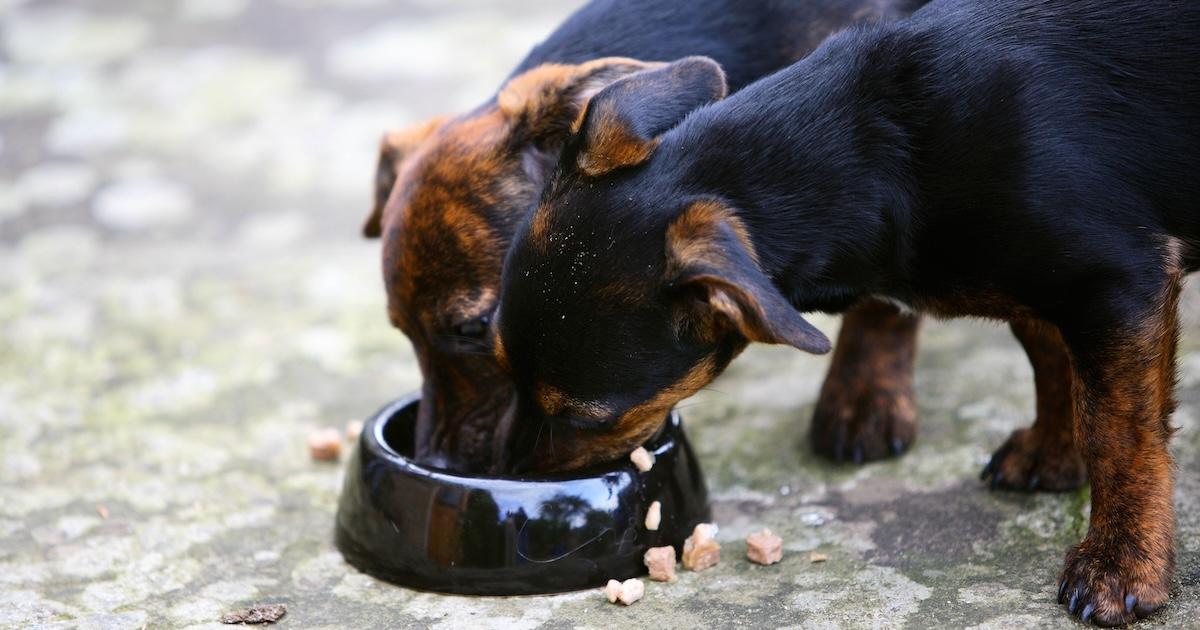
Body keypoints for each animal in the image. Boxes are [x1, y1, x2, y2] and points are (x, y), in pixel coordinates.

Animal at [492, 0, 1195, 619]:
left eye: (584, 416)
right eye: (496, 359)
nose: (510, 473)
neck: (888, 152)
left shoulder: (1118, 280)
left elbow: (1118, 432)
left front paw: (1121, 568)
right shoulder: (1042, 284)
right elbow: (1051, 357)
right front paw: (1055, 452)